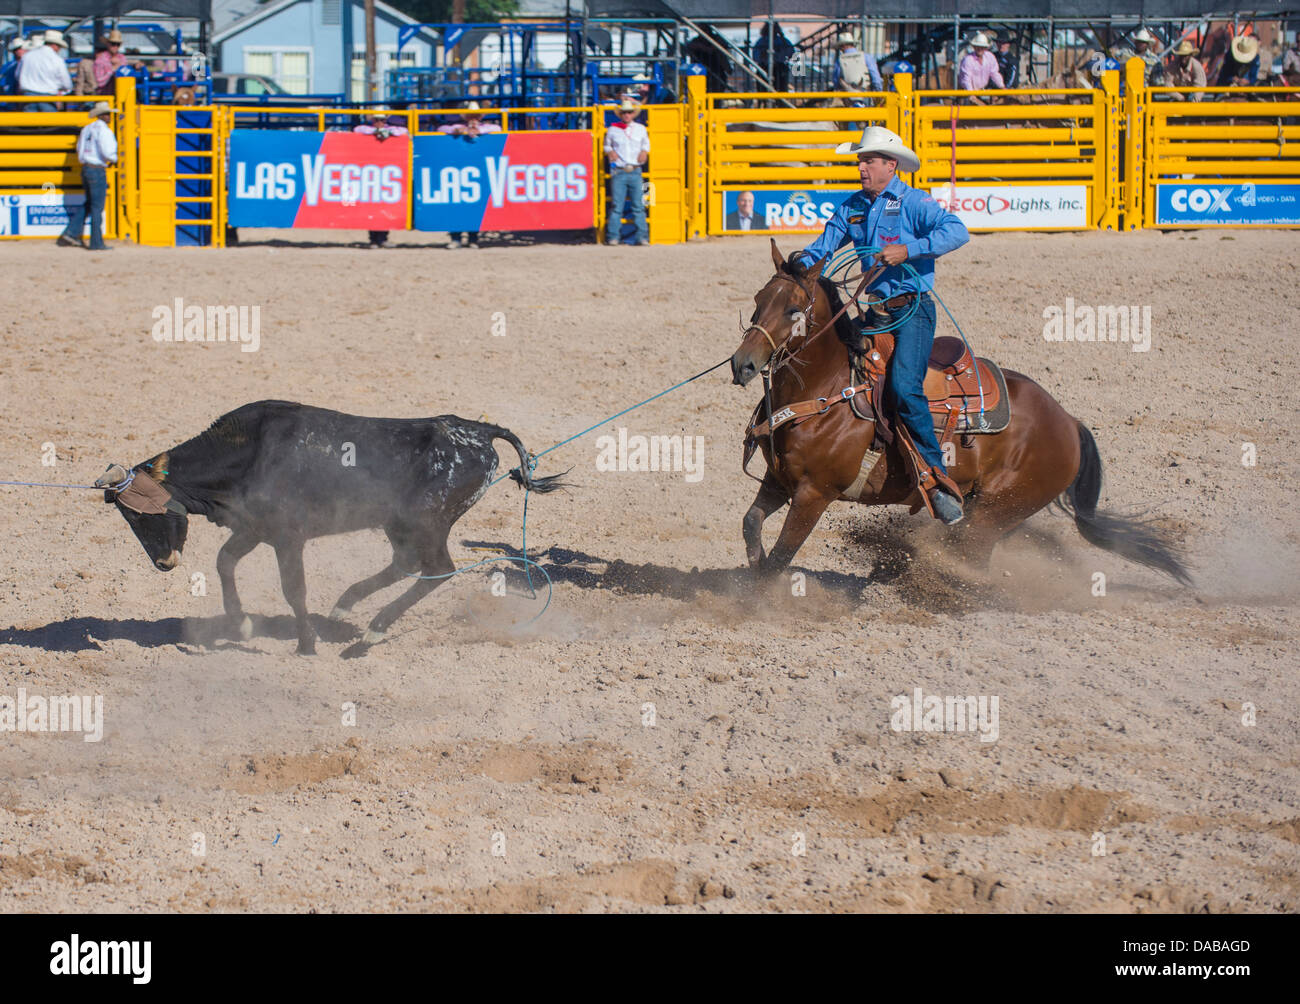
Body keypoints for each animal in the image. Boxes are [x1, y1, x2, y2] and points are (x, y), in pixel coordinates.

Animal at [728, 241, 1190, 585]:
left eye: (793, 310)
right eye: (757, 299)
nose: (743, 365)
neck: (827, 392)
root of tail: (1070, 424)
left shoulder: (815, 493)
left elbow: (782, 556)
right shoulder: (779, 478)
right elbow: (751, 523)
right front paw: (753, 563)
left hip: (996, 511)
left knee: (974, 557)